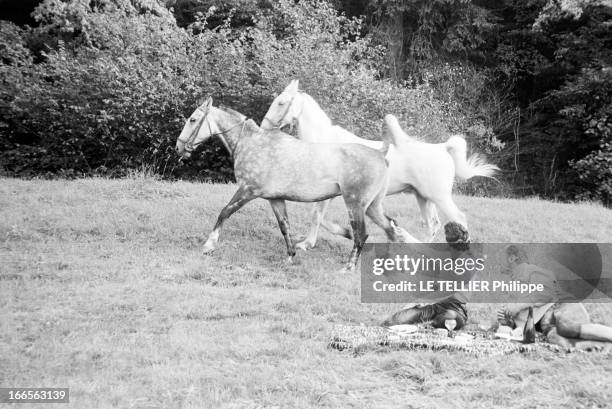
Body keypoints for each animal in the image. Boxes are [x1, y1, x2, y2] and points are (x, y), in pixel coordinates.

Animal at [262, 78, 498, 247]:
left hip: (439, 197)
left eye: (281, 103)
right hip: (423, 197)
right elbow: (318, 216)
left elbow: (316, 215)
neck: (326, 142)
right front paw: (343, 233)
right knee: (433, 224)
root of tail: (443, 148)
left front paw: (307, 244)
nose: (264, 128)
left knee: (459, 218)